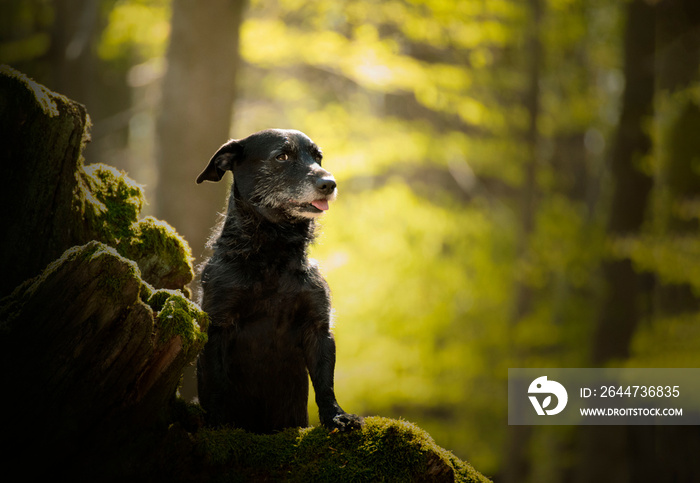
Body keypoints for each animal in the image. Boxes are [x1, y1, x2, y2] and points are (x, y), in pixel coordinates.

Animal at [196, 129, 364, 434]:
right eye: (282, 157)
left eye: (318, 157)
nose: (329, 183)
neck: (273, 252)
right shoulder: (217, 327)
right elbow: (216, 384)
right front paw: (217, 424)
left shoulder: (318, 329)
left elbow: (325, 384)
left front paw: (337, 417)